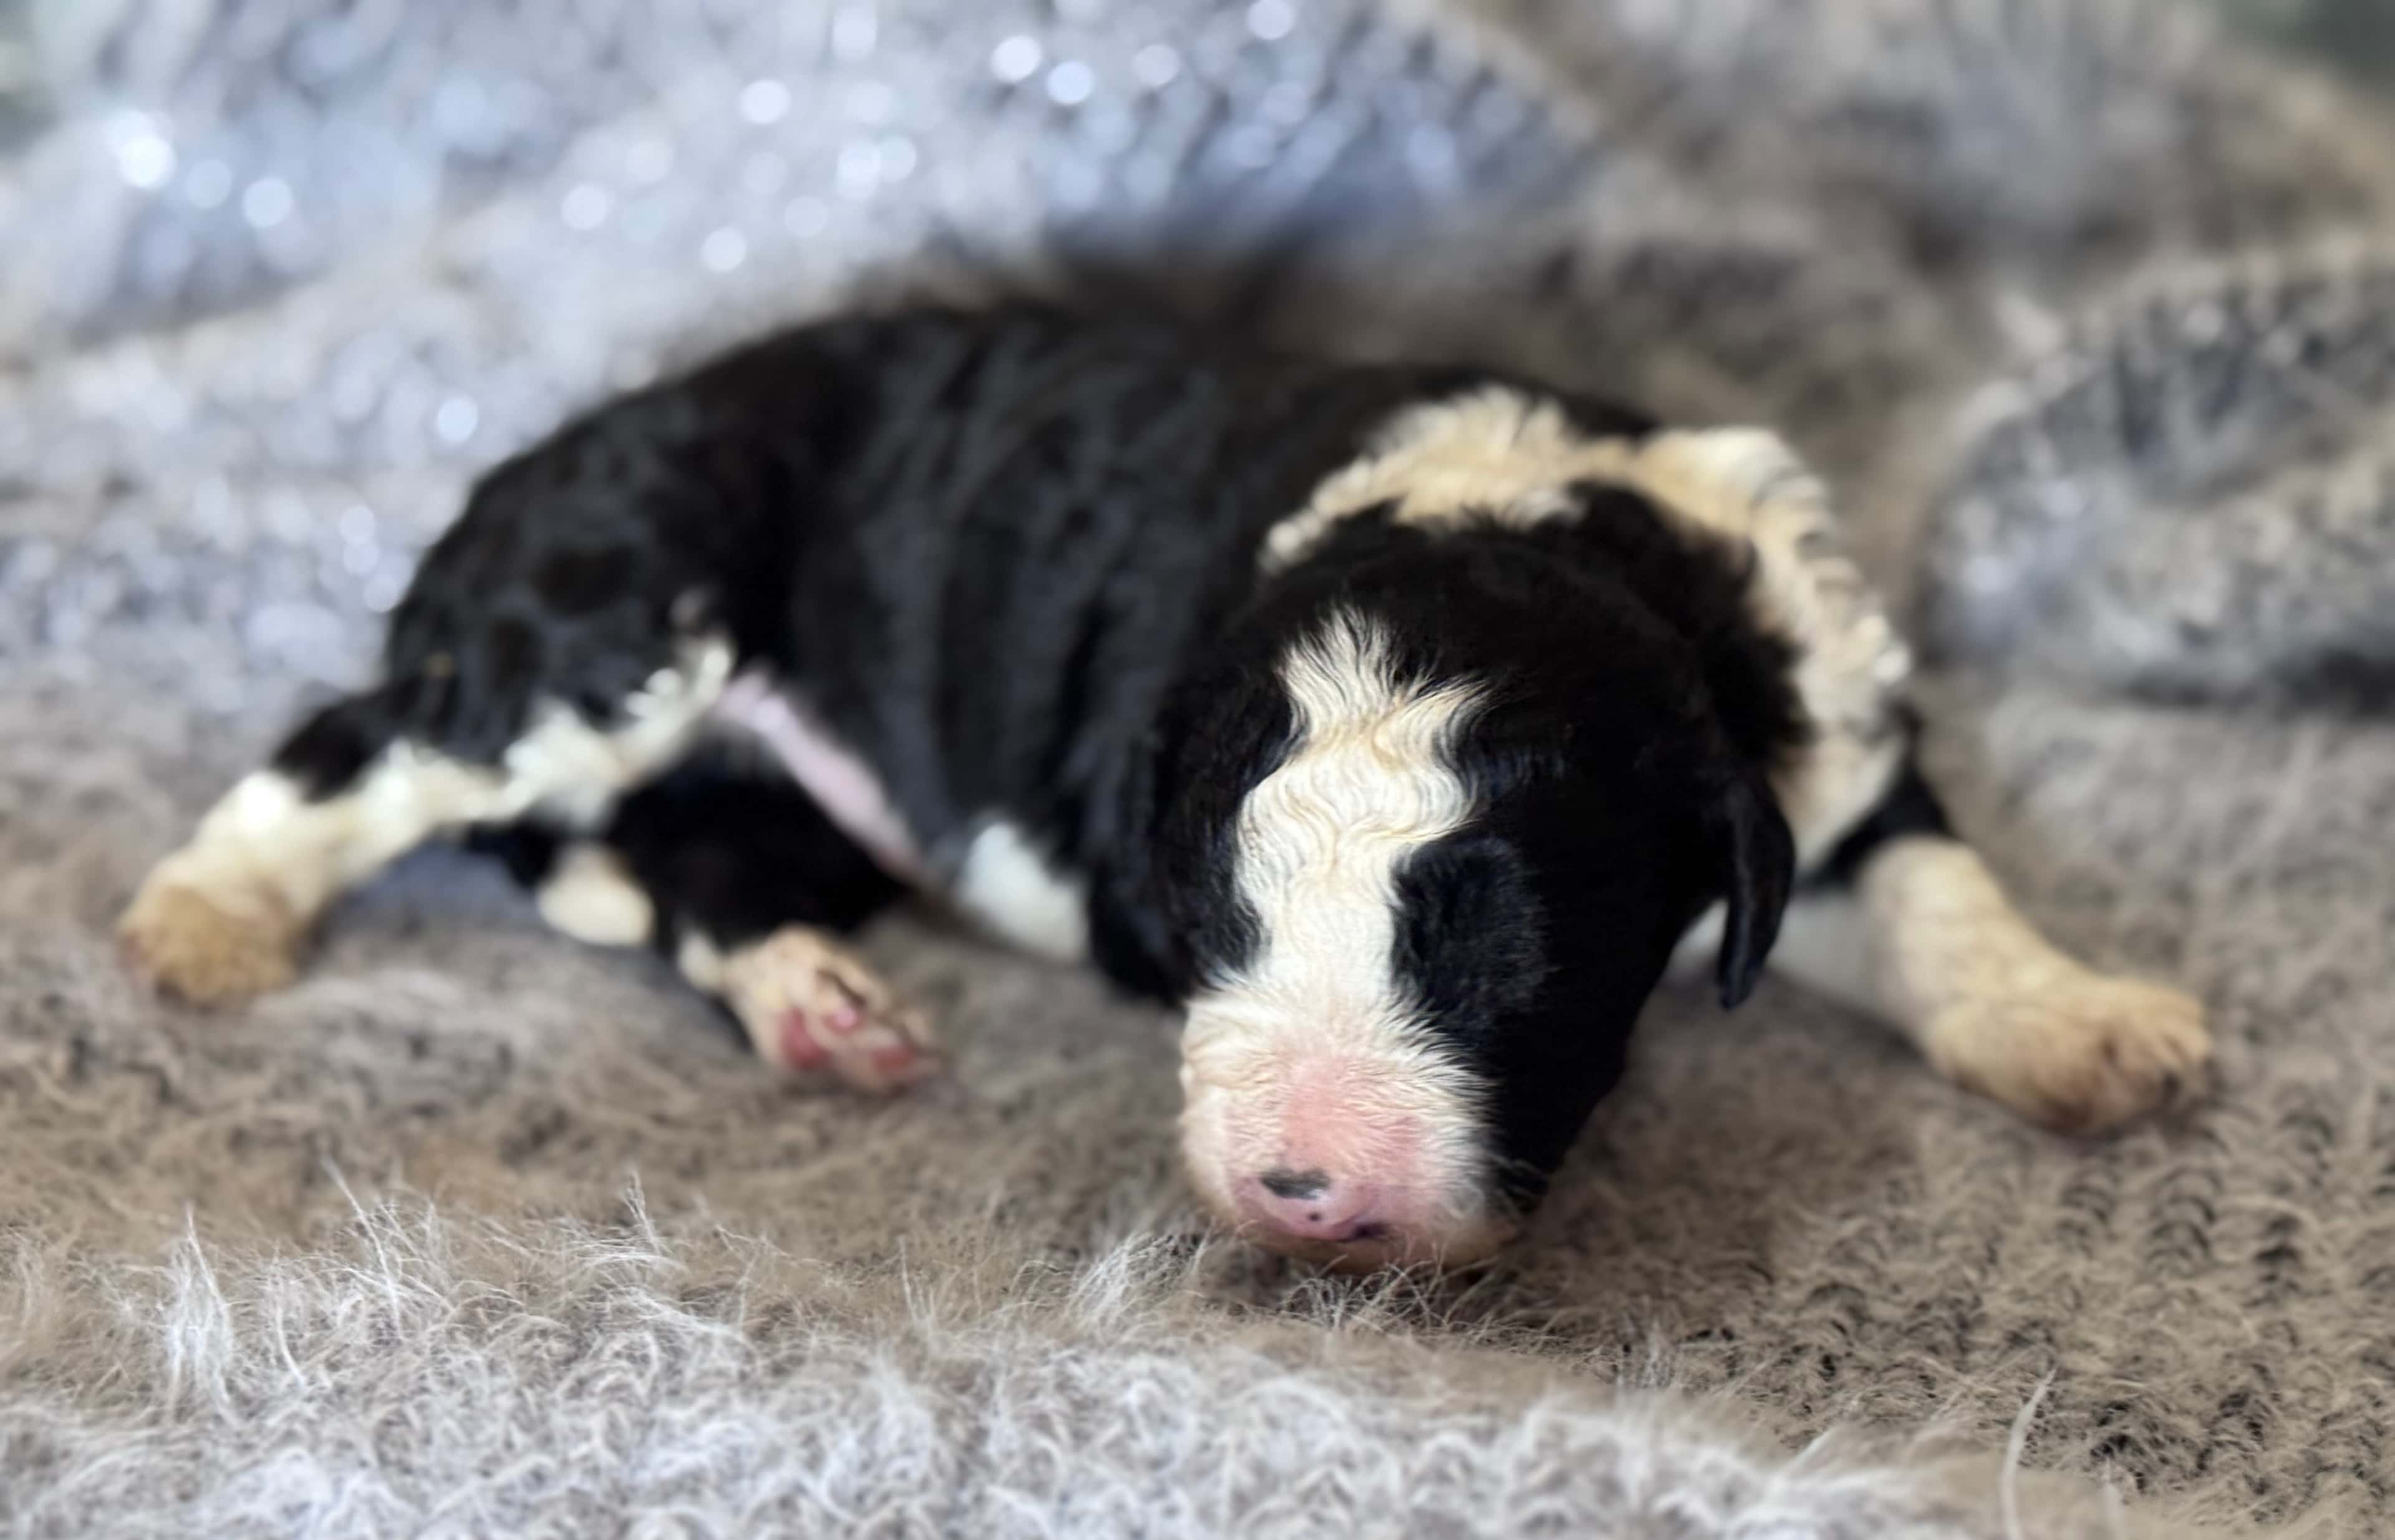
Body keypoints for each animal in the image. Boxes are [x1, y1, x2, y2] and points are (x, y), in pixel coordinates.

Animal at [112, 301, 2203, 1264]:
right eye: (1209, 914)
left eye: (1509, 954)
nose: (1301, 1194)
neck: (1533, 528)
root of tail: (536, 457)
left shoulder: (1815, 745)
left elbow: (1938, 892)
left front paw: (2082, 1027)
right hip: (621, 602)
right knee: (371, 737)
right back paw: (208, 916)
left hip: (792, 790)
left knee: (699, 863)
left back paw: (820, 1006)